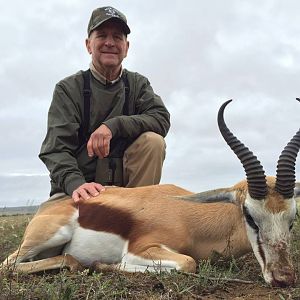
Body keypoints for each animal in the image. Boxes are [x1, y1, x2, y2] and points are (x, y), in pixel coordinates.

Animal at [2, 99, 300, 288]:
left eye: (291, 220)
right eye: (250, 216)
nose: (283, 278)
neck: (190, 218)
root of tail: (48, 207)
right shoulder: (141, 250)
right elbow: (188, 263)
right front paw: (102, 265)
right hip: (48, 237)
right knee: (9, 265)